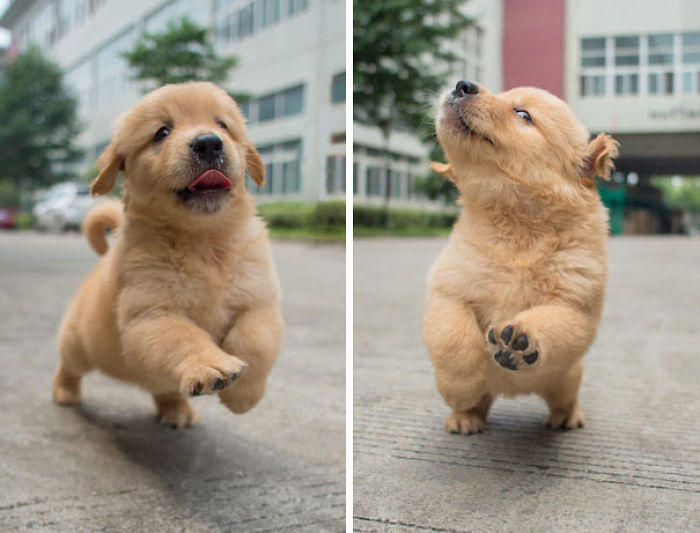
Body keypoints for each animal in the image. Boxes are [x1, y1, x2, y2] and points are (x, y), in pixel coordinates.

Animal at [52, 80, 282, 428]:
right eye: (162, 132)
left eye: (222, 125)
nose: (208, 143)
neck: (204, 240)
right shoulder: (152, 315)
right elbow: (183, 336)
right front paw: (211, 366)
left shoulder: (258, 302)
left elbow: (255, 339)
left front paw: (243, 396)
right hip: (79, 342)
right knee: (68, 365)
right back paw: (64, 392)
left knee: (165, 387)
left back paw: (176, 410)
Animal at [422, 81, 616, 434]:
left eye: (523, 115)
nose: (462, 85)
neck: (517, 225)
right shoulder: (448, 289)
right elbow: (452, 339)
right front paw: (459, 390)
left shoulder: (576, 307)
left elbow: (551, 321)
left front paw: (520, 338)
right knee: (481, 401)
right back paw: (465, 416)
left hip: (568, 378)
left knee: (565, 398)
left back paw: (567, 417)